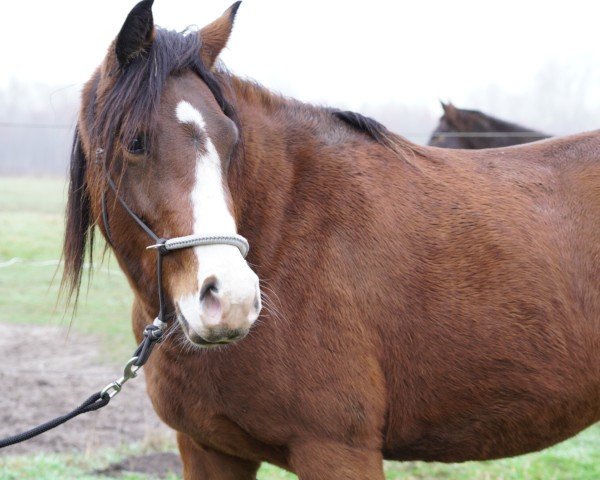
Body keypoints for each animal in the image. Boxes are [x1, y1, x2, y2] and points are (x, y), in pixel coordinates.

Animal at [63, 1, 596, 478]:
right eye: (135, 142)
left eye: (232, 140)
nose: (231, 300)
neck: (284, 232)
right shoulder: (208, 449)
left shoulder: (336, 451)